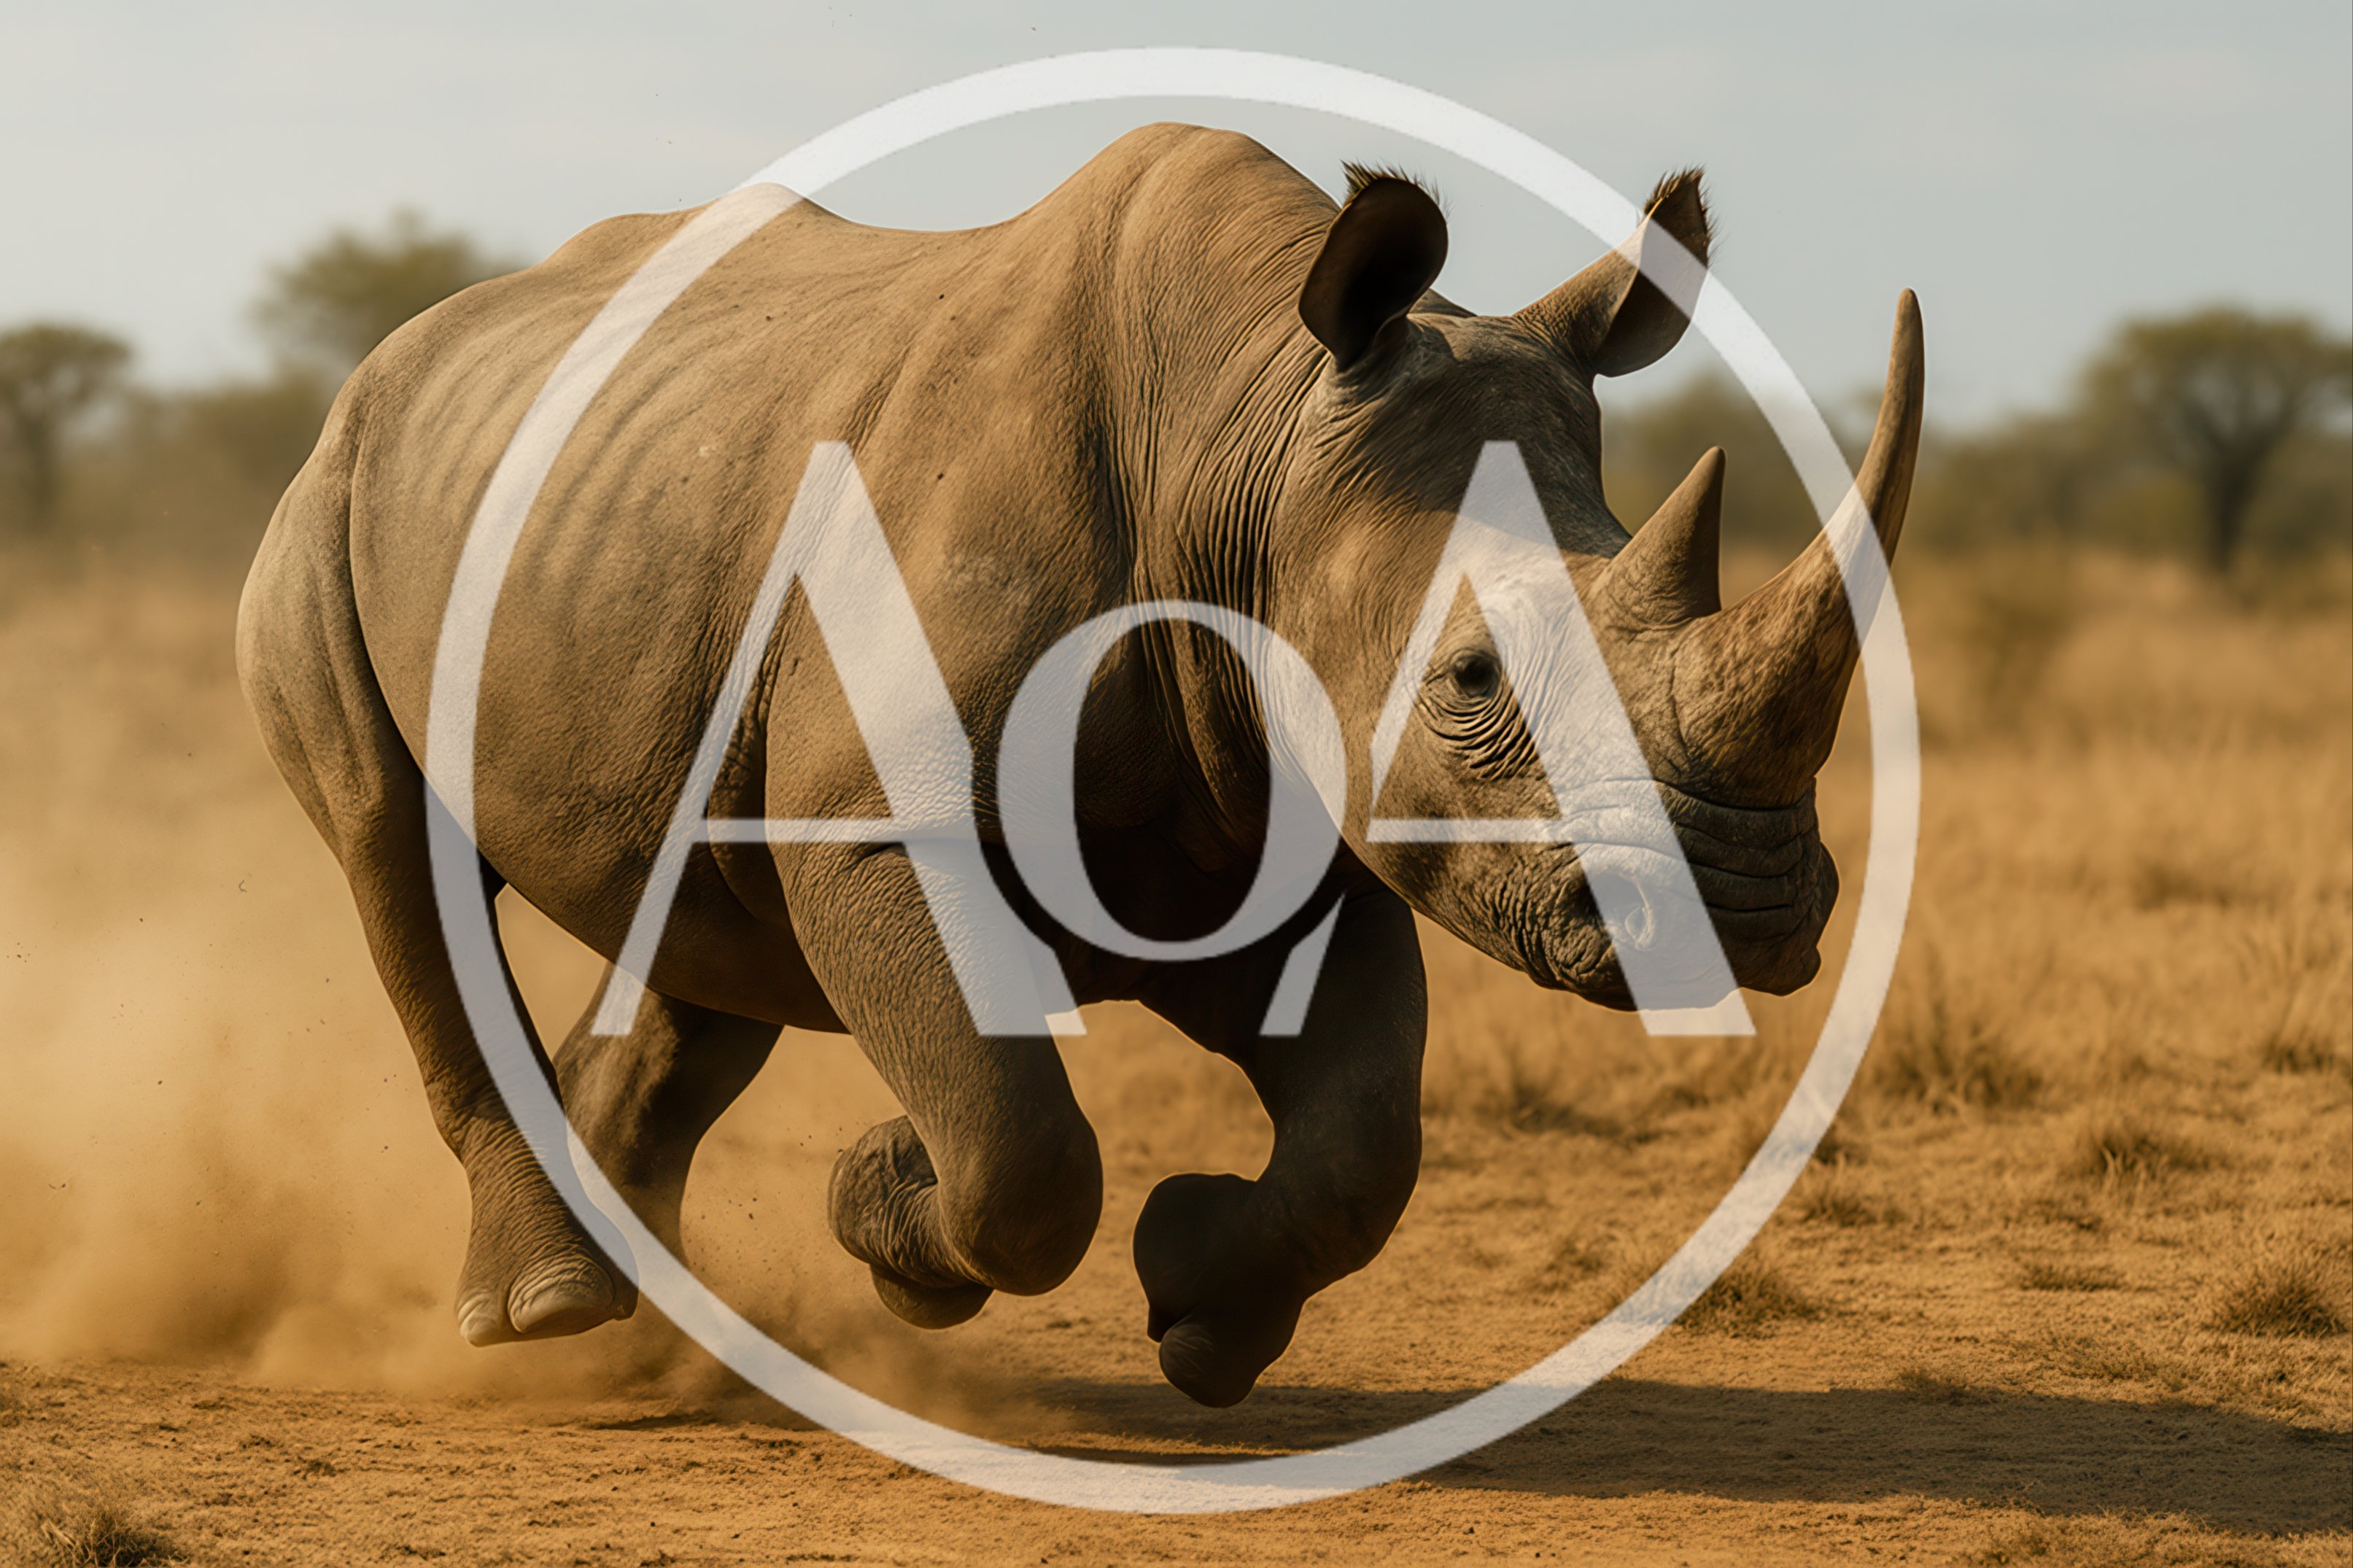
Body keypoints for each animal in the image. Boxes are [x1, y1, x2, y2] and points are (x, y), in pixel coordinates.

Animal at [236, 123, 1921, 1407]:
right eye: (1470, 681)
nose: (1743, 917)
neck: (1250, 430)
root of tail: (402, 352)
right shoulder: (878, 822)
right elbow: (1019, 1150)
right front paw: (890, 1200)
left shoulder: (1290, 831)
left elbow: (1363, 1147)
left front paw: (1196, 1312)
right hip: (328, 498)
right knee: (393, 851)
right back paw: (548, 1318)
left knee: (704, 945)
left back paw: (650, 1339)